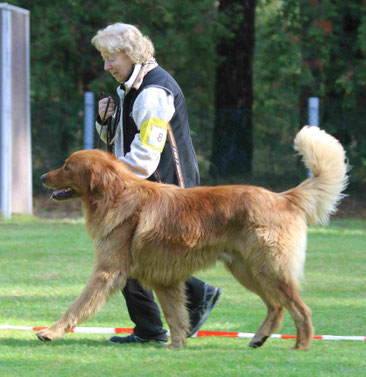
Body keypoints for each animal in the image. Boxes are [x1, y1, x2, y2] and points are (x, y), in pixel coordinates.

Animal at [38, 126, 348, 350]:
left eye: (66, 166)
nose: (42, 177)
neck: (115, 194)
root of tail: (284, 197)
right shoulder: (164, 280)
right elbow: (176, 318)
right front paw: (176, 346)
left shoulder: (107, 272)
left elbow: (77, 306)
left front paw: (51, 332)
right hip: (247, 270)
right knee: (277, 307)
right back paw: (259, 338)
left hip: (270, 270)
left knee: (301, 309)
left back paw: (301, 345)